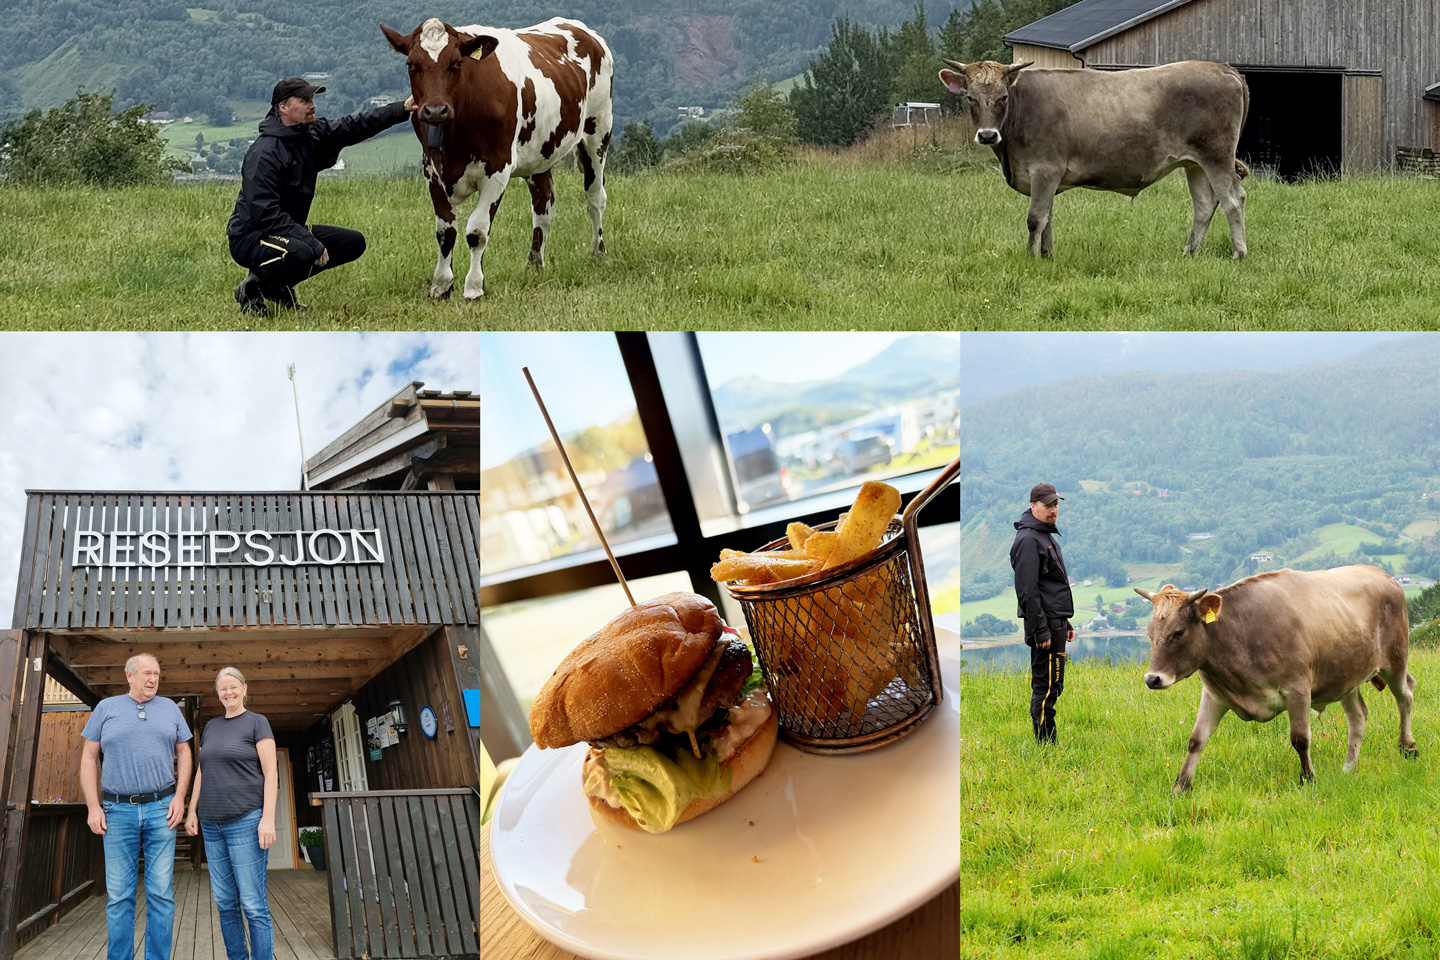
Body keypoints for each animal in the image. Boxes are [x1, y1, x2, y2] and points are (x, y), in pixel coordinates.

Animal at [938, 62, 1255, 260]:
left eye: (1003, 97)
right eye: (970, 98)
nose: (987, 135)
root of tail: (1221, 67)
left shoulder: (1044, 169)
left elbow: (1035, 218)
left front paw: (1029, 258)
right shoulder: (1048, 178)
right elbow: (1048, 218)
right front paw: (1046, 256)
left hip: (1216, 155)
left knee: (1233, 199)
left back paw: (1239, 253)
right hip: (1195, 164)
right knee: (1204, 205)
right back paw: (1189, 252)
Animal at [1134, 567, 1416, 794]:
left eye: (1178, 632)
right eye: (1149, 633)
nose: (1152, 679)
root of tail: (1381, 574)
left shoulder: (1297, 689)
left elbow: (1300, 739)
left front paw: (1308, 779)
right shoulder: (1214, 694)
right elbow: (1196, 740)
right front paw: (1181, 787)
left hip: (1395, 659)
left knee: (1405, 696)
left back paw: (1408, 747)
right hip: (1346, 676)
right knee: (1358, 716)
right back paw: (1349, 767)